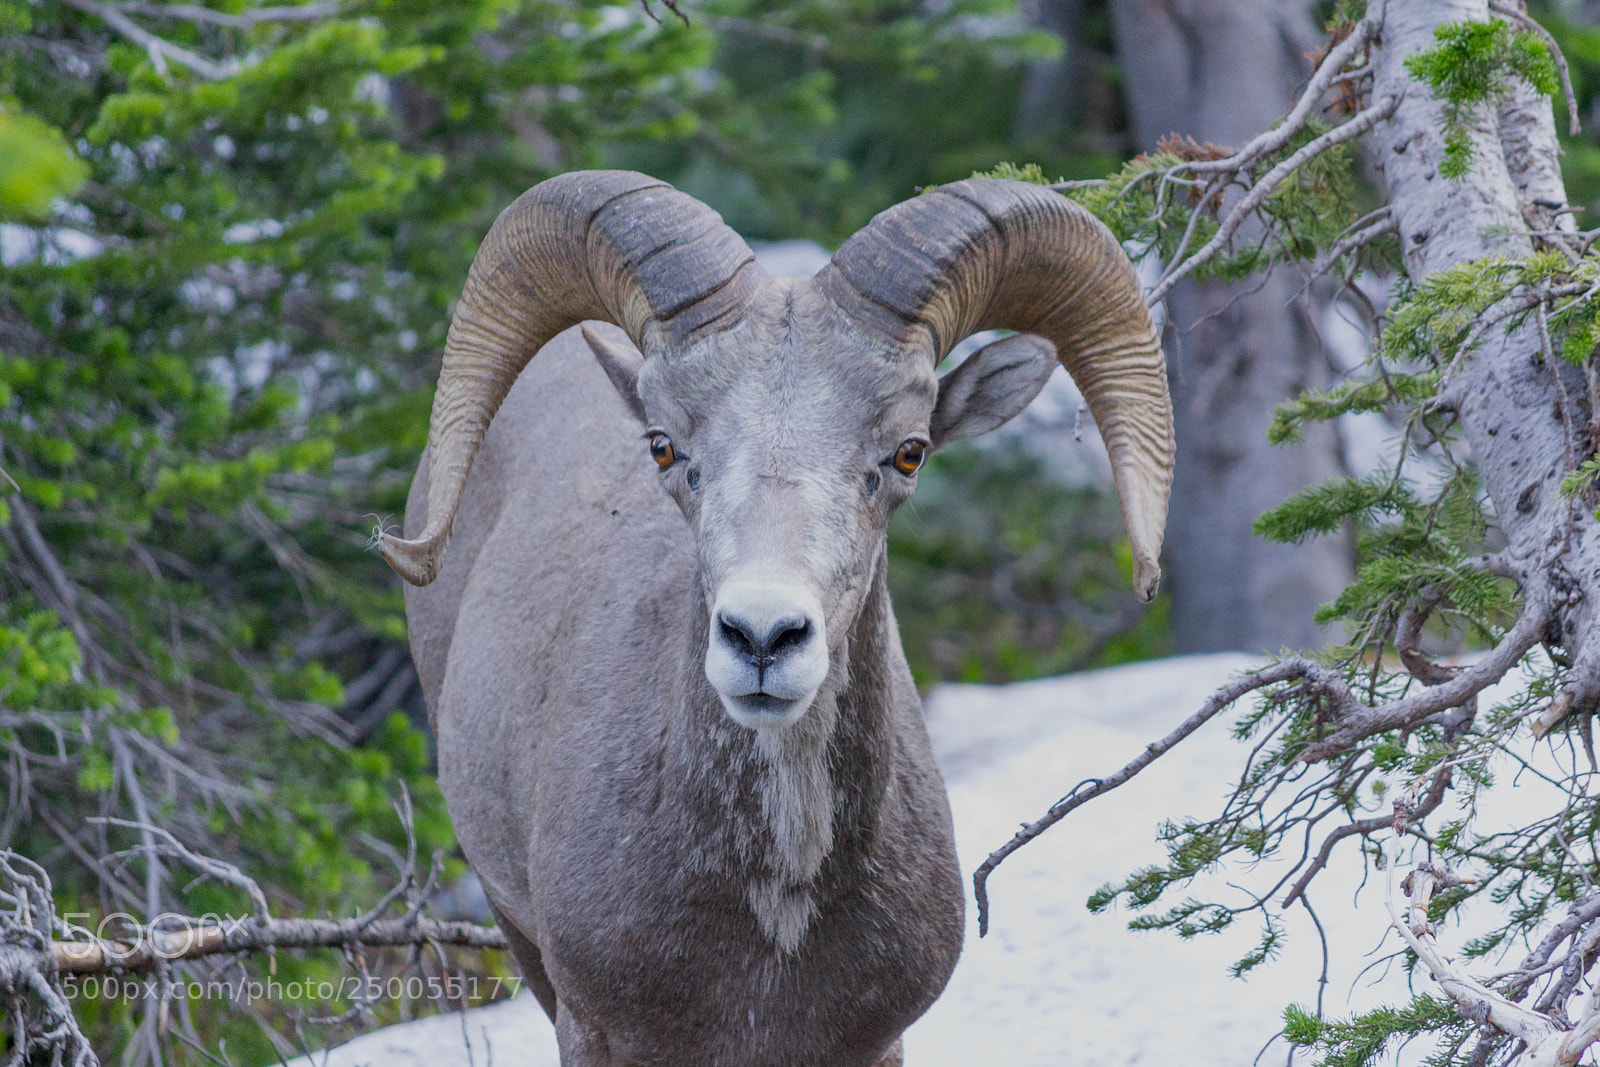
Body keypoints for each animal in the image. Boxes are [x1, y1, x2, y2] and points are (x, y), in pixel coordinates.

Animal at [383, 171, 1174, 1066]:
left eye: (910, 451)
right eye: (663, 445)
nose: (763, 638)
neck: (777, 919)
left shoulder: (874, 1043)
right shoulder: (594, 1027)